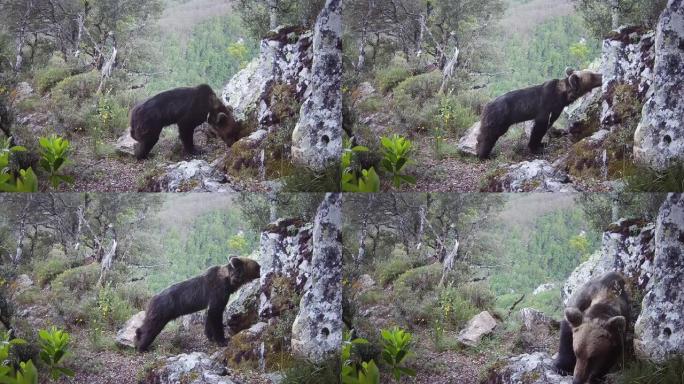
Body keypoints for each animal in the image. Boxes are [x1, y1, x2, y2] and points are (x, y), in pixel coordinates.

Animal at [476, 68, 604, 159]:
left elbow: (549, 123)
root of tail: (486, 106)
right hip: (499, 117)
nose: (602, 76)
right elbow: (539, 127)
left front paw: (542, 142)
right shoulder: (545, 105)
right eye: (592, 75)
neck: (562, 95)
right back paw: (483, 154)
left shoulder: (557, 109)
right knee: (489, 135)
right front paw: (536, 146)